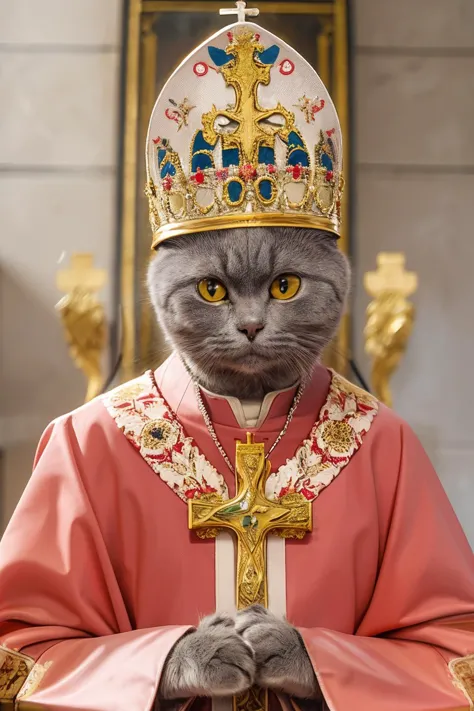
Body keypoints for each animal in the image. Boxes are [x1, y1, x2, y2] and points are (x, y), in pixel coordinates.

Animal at [146, 227, 350, 700]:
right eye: (211, 289)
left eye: (285, 286)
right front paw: (206, 650)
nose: (251, 326)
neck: (251, 416)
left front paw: (282, 642)